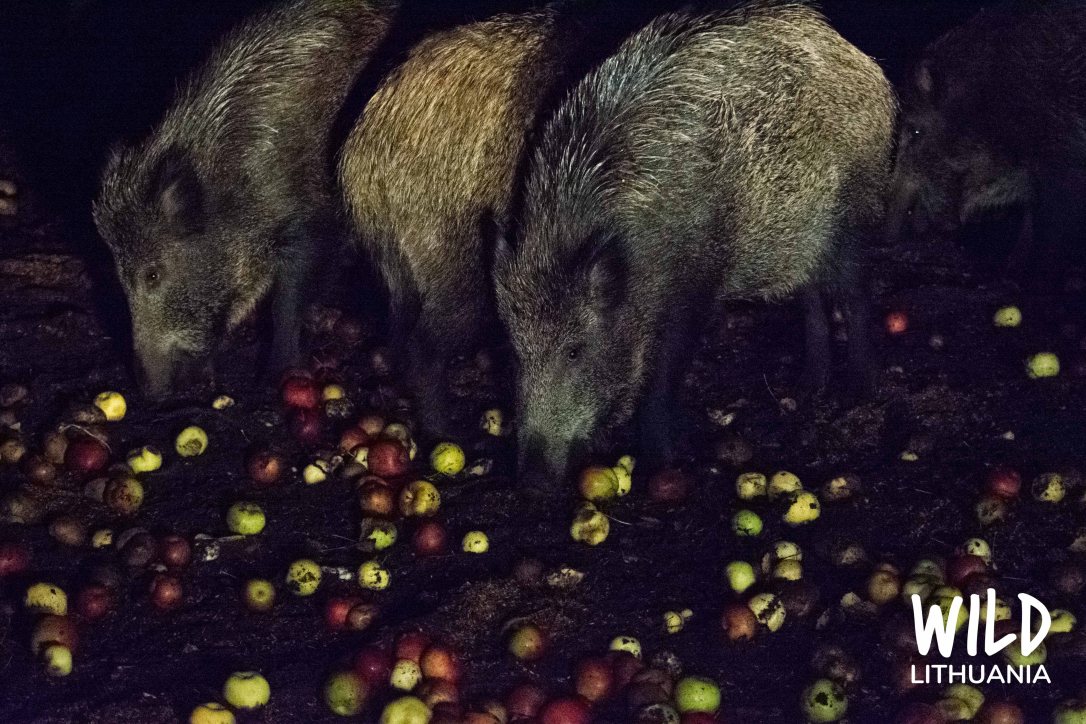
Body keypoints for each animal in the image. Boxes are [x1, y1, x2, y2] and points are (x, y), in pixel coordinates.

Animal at [92, 0, 397, 397]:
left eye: (153, 274)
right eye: (119, 277)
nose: (149, 393)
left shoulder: (311, 224)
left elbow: (286, 305)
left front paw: (275, 378)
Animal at [494, 2, 897, 491]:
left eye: (575, 350)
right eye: (515, 351)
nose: (532, 481)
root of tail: (864, 64)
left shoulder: (691, 289)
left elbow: (662, 378)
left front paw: (660, 463)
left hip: (854, 213)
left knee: (854, 293)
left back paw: (862, 389)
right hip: (799, 242)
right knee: (811, 298)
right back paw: (809, 386)